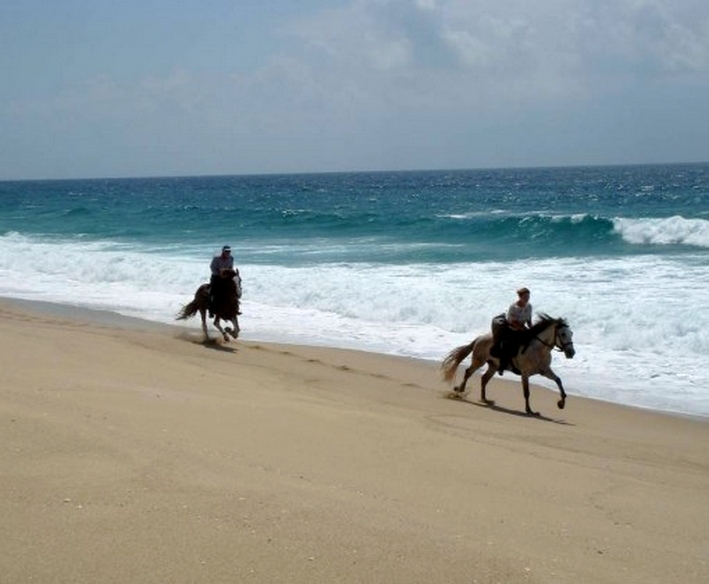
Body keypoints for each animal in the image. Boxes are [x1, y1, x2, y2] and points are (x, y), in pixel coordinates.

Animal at [442, 314, 576, 416]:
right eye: (563, 334)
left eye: (571, 333)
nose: (571, 353)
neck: (538, 350)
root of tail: (479, 338)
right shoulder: (525, 373)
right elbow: (527, 392)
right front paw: (529, 410)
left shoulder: (545, 371)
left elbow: (558, 380)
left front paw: (561, 403)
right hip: (478, 361)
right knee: (468, 372)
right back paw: (460, 390)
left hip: (493, 365)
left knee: (484, 378)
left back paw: (485, 399)